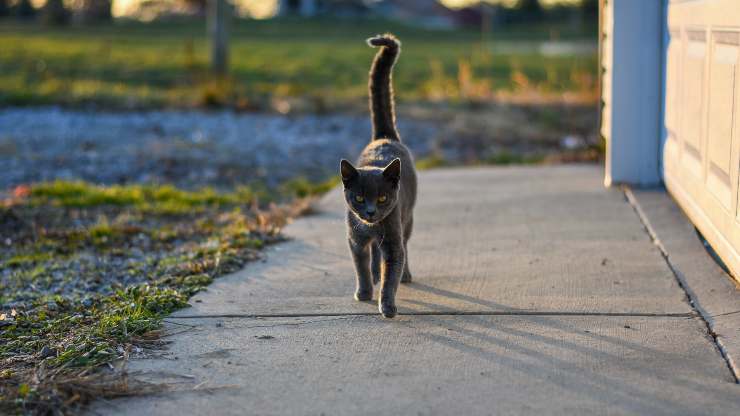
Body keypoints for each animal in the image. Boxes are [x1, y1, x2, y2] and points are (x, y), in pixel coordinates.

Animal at [340, 33, 416, 318]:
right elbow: (360, 266)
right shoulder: (354, 239)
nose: (371, 212)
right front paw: (364, 292)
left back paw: (406, 275)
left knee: (405, 246)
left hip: (407, 218)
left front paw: (388, 305)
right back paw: (374, 273)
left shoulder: (393, 241)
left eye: (383, 198)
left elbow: (391, 274)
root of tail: (385, 136)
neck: (371, 227)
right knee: (373, 254)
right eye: (359, 198)